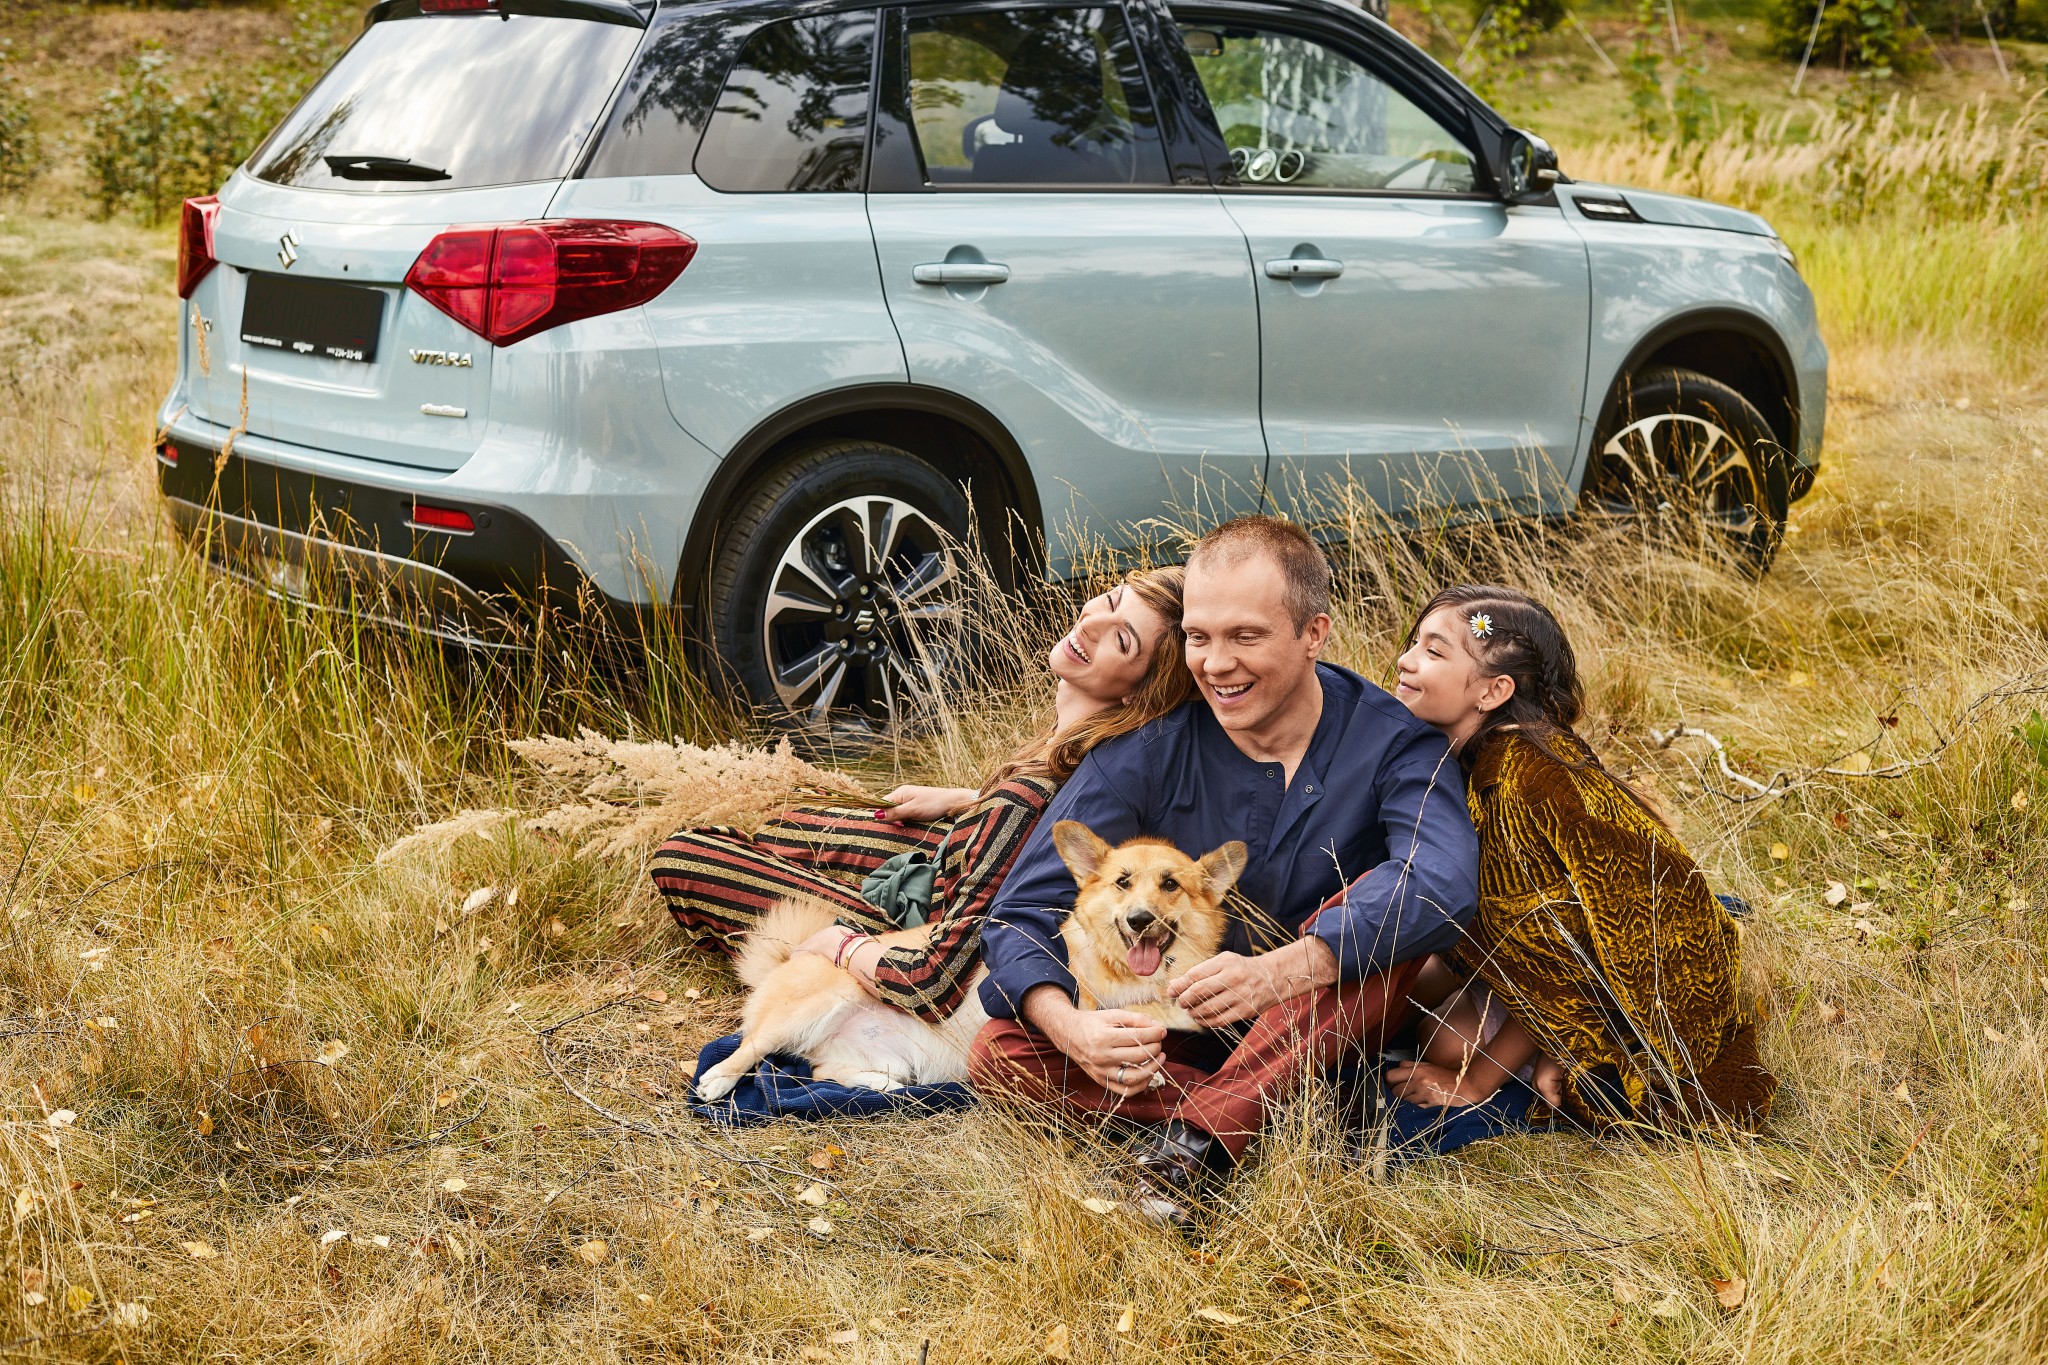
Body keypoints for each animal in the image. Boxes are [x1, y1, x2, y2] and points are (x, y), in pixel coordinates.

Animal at [691, 821, 1246, 1099]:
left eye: (1170, 885)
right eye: (1123, 882)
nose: (1138, 920)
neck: (1124, 970)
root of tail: (784, 961)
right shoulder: (1075, 994)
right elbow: (1113, 1014)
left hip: (883, 1057)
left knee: (821, 1072)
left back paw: (880, 1085)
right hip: (817, 1004)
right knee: (753, 1046)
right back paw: (717, 1081)